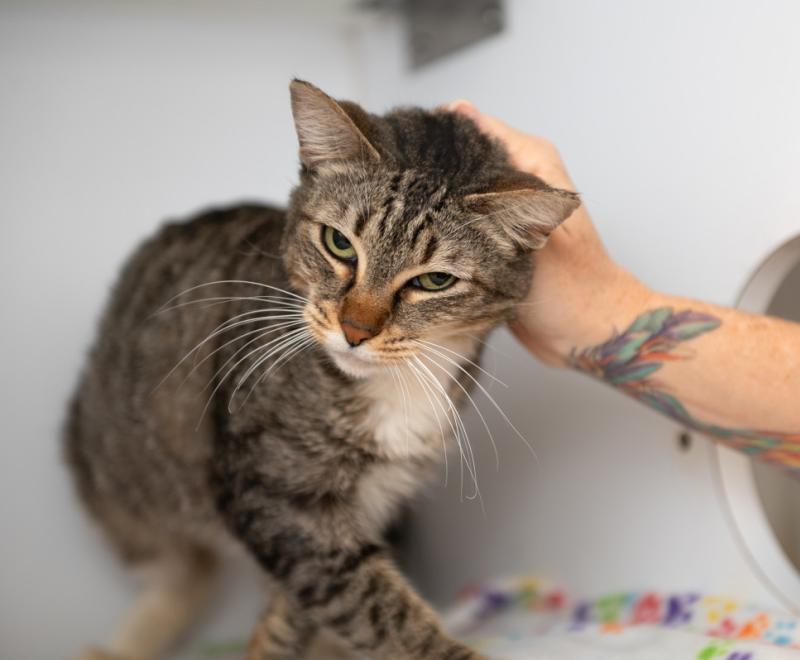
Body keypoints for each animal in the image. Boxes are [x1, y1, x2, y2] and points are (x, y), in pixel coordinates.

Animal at [65, 81, 580, 660]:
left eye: (435, 281)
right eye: (339, 243)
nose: (355, 330)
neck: (393, 386)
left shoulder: (374, 495)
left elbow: (305, 606)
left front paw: (279, 641)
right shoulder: (275, 490)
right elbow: (372, 604)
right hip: (116, 476)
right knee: (178, 570)